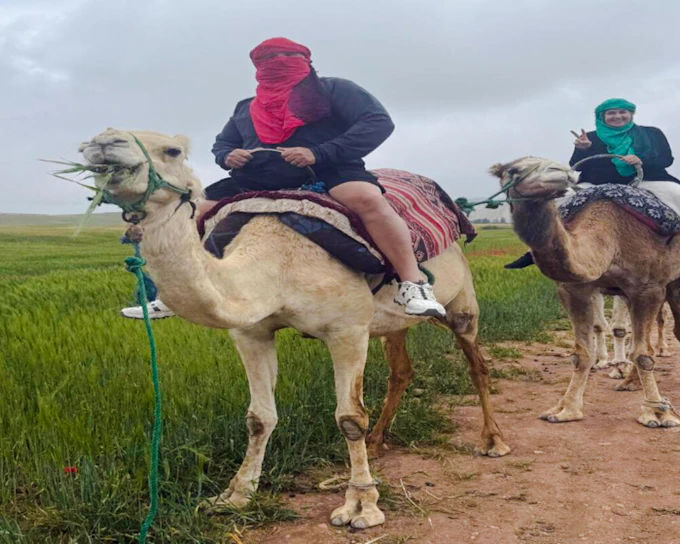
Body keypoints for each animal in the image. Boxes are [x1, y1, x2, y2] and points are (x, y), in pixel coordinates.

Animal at [78, 128, 510, 529]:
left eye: (172, 150)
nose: (103, 143)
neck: (276, 262)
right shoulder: (251, 333)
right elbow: (258, 417)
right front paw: (234, 496)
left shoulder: (347, 329)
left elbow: (350, 417)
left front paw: (361, 506)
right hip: (393, 324)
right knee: (401, 370)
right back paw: (378, 441)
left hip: (461, 301)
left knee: (476, 362)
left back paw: (493, 440)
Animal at [489, 157, 680, 428]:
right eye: (514, 169)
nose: (561, 171)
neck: (610, 236)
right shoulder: (574, 288)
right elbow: (582, 354)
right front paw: (565, 409)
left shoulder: (649, 287)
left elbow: (643, 354)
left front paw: (657, 413)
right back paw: (630, 382)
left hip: (672, 283)